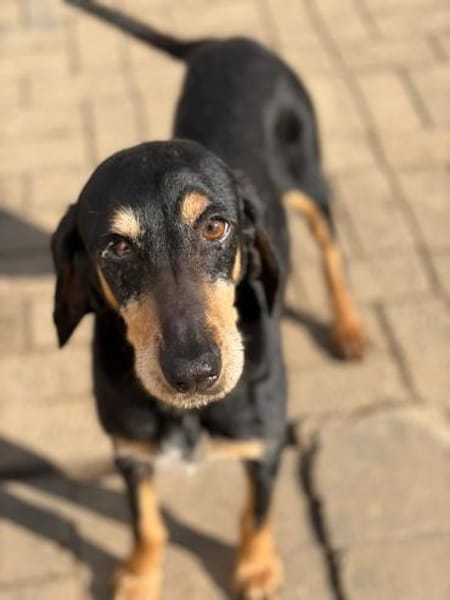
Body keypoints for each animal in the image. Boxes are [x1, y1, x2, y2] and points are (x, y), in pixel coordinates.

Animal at [53, 1, 366, 598]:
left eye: (216, 226)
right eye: (116, 246)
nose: (194, 372)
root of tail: (229, 40)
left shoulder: (266, 443)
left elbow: (257, 512)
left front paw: (257, 568)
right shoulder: (130, 452)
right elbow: (147, 521)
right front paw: (140, 575)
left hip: (309, 180)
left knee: (331, 251)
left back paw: (350, 329)